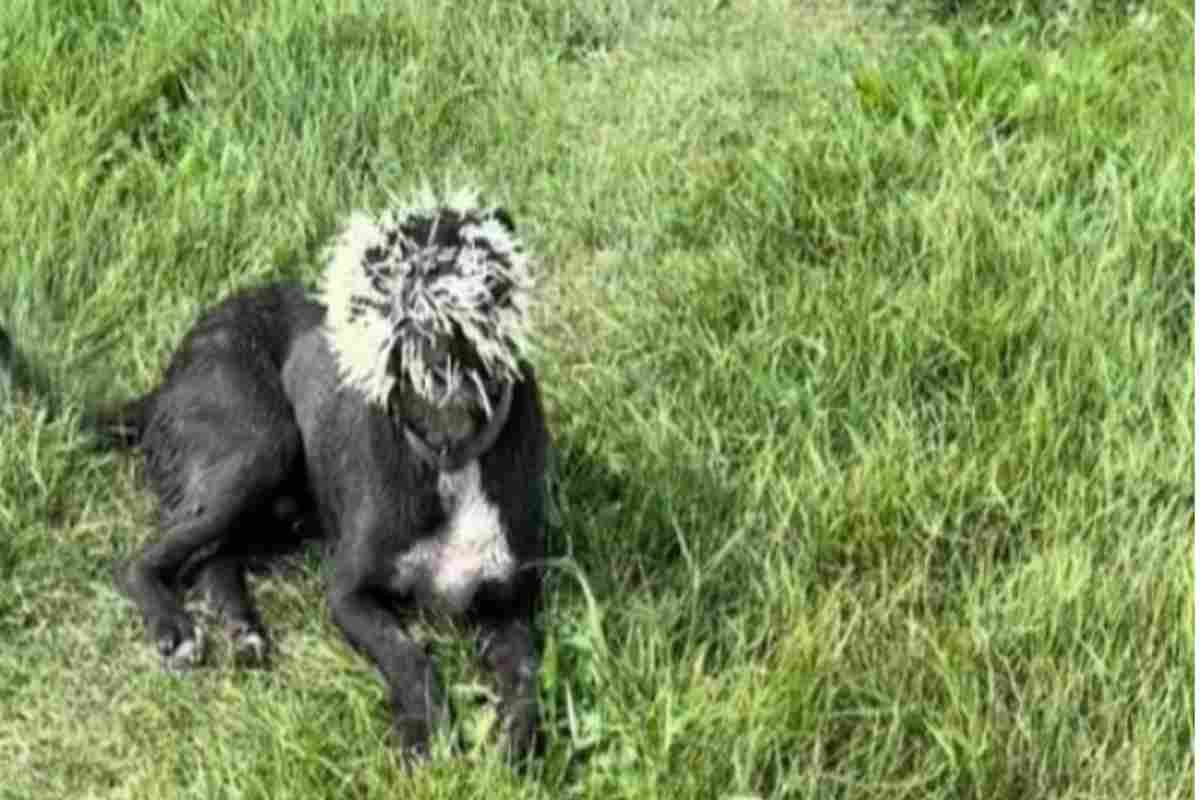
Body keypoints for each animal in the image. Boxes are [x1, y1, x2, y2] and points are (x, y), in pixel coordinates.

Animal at [91, 190, 549, 762]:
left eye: (482, 276)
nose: (439, 335)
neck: (448, 449)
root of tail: (165, 377)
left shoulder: (508, 607)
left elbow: (527, 678)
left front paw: (514, 744)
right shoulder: (349, 595)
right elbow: (408, 657)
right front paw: (424, 734)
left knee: (214, 555)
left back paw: (242, 629)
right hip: (263, 444)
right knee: (145, 558)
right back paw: (176, 628)